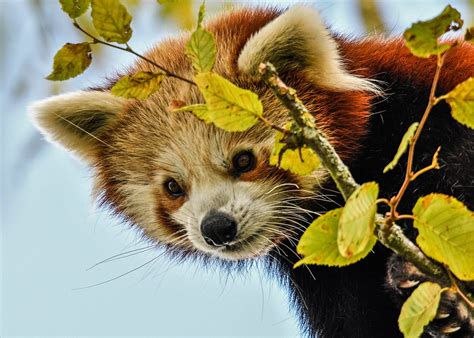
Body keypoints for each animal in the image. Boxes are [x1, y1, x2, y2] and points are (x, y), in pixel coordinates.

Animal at [29, 5, 474, 338]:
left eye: (243, 161)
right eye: (173, 187)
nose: (216, 227)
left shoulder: (430, 111)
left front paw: (427, 280)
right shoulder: (333, 280)